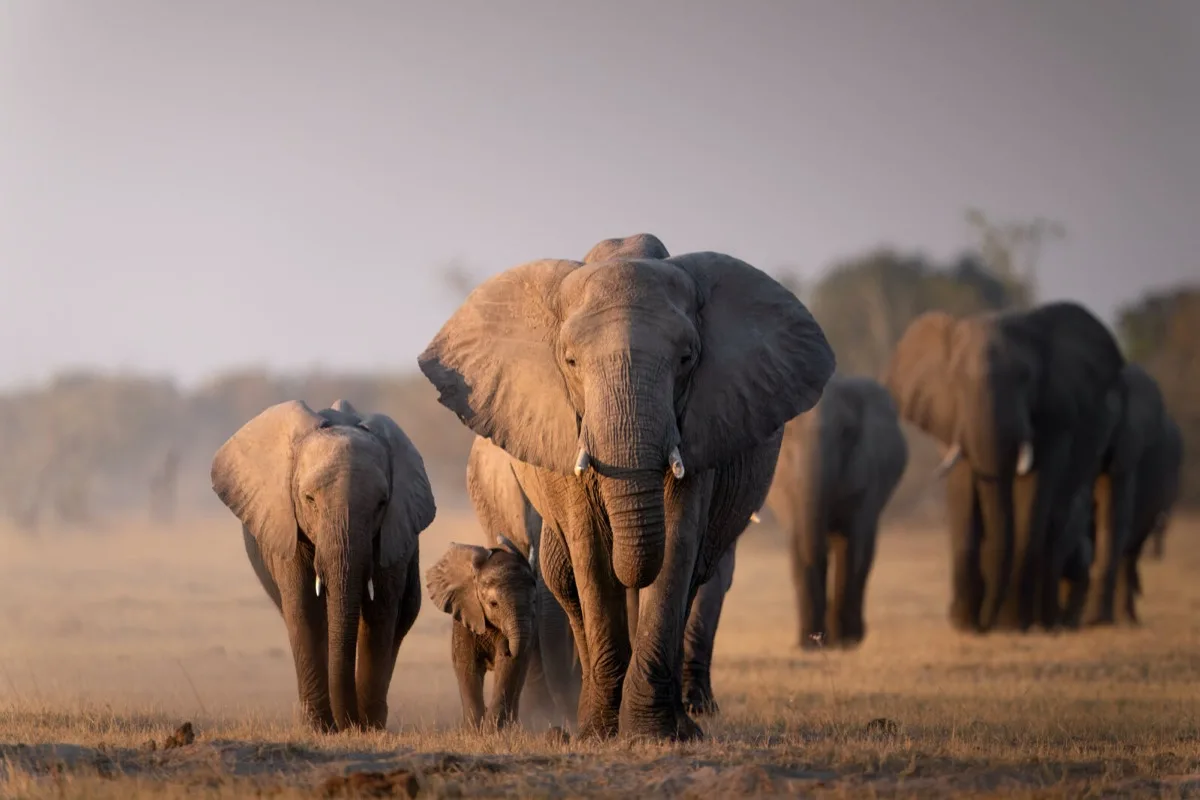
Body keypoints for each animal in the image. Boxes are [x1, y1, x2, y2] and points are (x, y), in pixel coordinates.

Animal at [210, 399, 436, 732]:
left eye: (381, 504)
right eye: (309, 499)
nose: (349, 724)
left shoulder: (392, 532)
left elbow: (380, 612)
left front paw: (367, 728)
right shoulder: (287, 526)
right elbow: (304, 609)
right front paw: (318, 727)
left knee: (404, 614)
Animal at [426, 535, 538, 730]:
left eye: (533, 601)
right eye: (494, 604)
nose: (507, 647)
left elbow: (507, 667)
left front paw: (492, 730)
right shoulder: (465, 617)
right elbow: (467, 666)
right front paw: (475, 730)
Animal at [764, 375, 909, 649]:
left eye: (846, 432)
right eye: (789, 434)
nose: (822, 638)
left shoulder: (868, 470)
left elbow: (852, 544)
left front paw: (845, 643)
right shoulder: (785, 484)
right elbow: (799, 543)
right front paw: (808, 645)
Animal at [883, 302, 1125, 633]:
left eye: (1026, 377)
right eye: (956, 380)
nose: (987, 623)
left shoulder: (1053, 414)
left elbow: (1032, 493)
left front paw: (1010, 625)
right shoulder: (954, 420)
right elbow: (964, 488)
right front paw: (966, 625)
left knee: (1058, 521)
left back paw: (1044, 622)